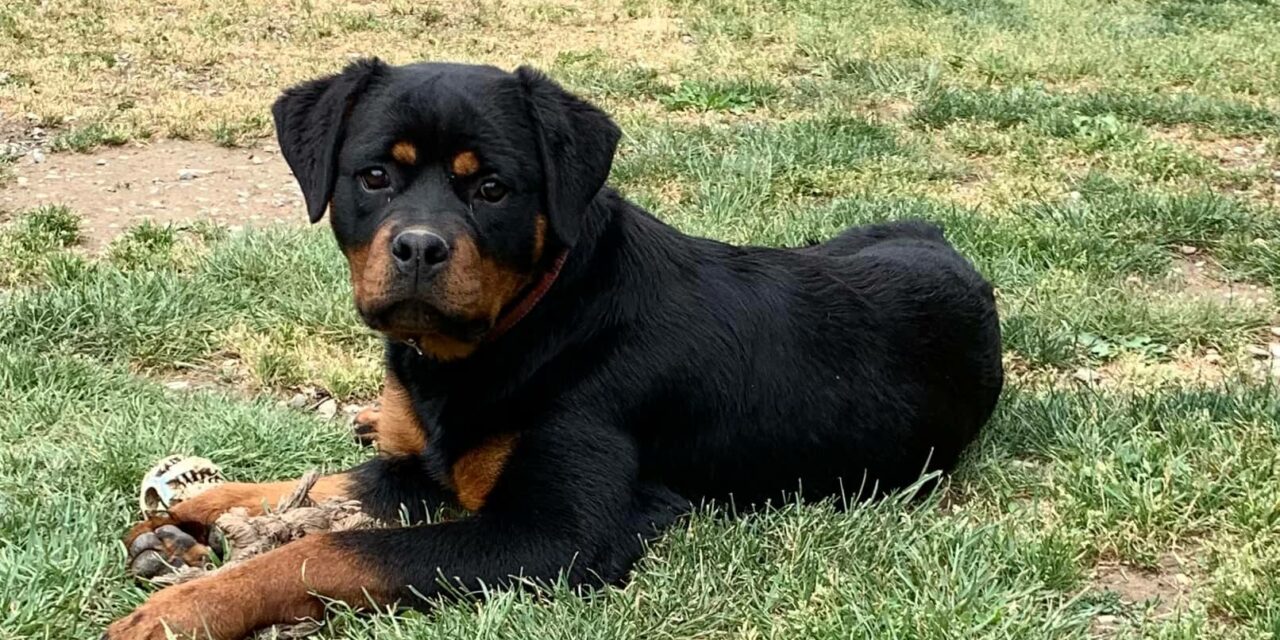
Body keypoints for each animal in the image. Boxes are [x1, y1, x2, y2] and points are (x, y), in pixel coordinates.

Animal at [104, 60, 1003, 640]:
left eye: (492, 187)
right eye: (374, 178)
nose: (420, 247)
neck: (513, 331)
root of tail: (945, 241)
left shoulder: (556, 534)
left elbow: (330, 547)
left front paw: (181, 610)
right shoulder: (419, 468)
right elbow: (312, 486)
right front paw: (182, 520)